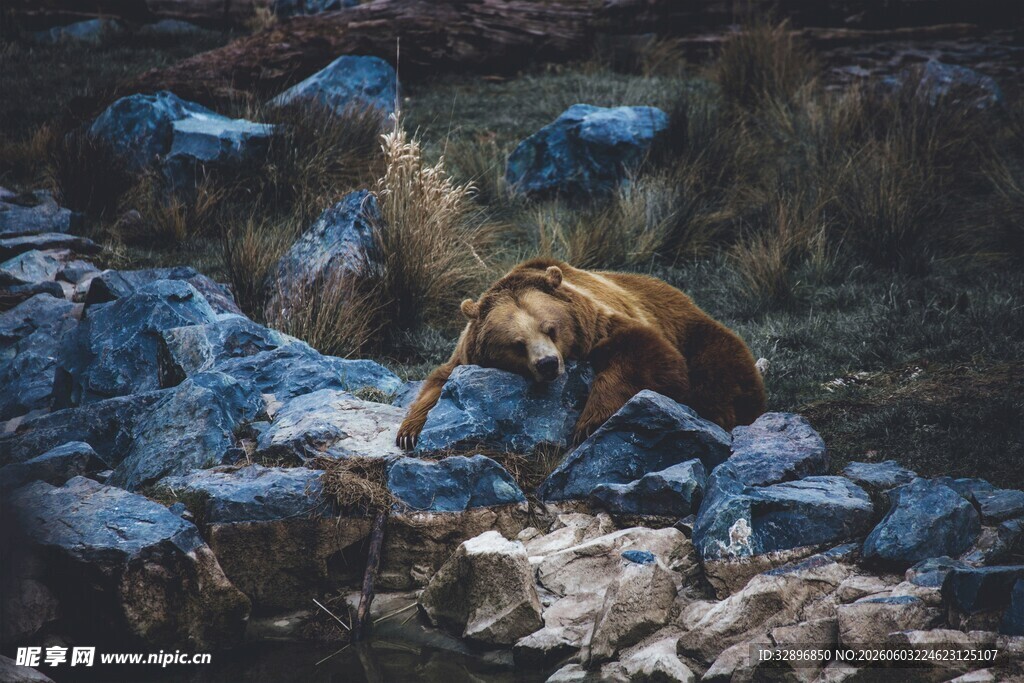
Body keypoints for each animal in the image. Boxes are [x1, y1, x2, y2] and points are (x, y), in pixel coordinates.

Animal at [396, 258, 765, 449]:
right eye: (517, 343)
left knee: (721, 370)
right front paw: (409, 432)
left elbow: (647, 356)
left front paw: (588, 423)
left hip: (692, 328)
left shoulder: (602, 322)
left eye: (551, 328)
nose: (548, 364)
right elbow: (438, 381)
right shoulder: (466, 355)